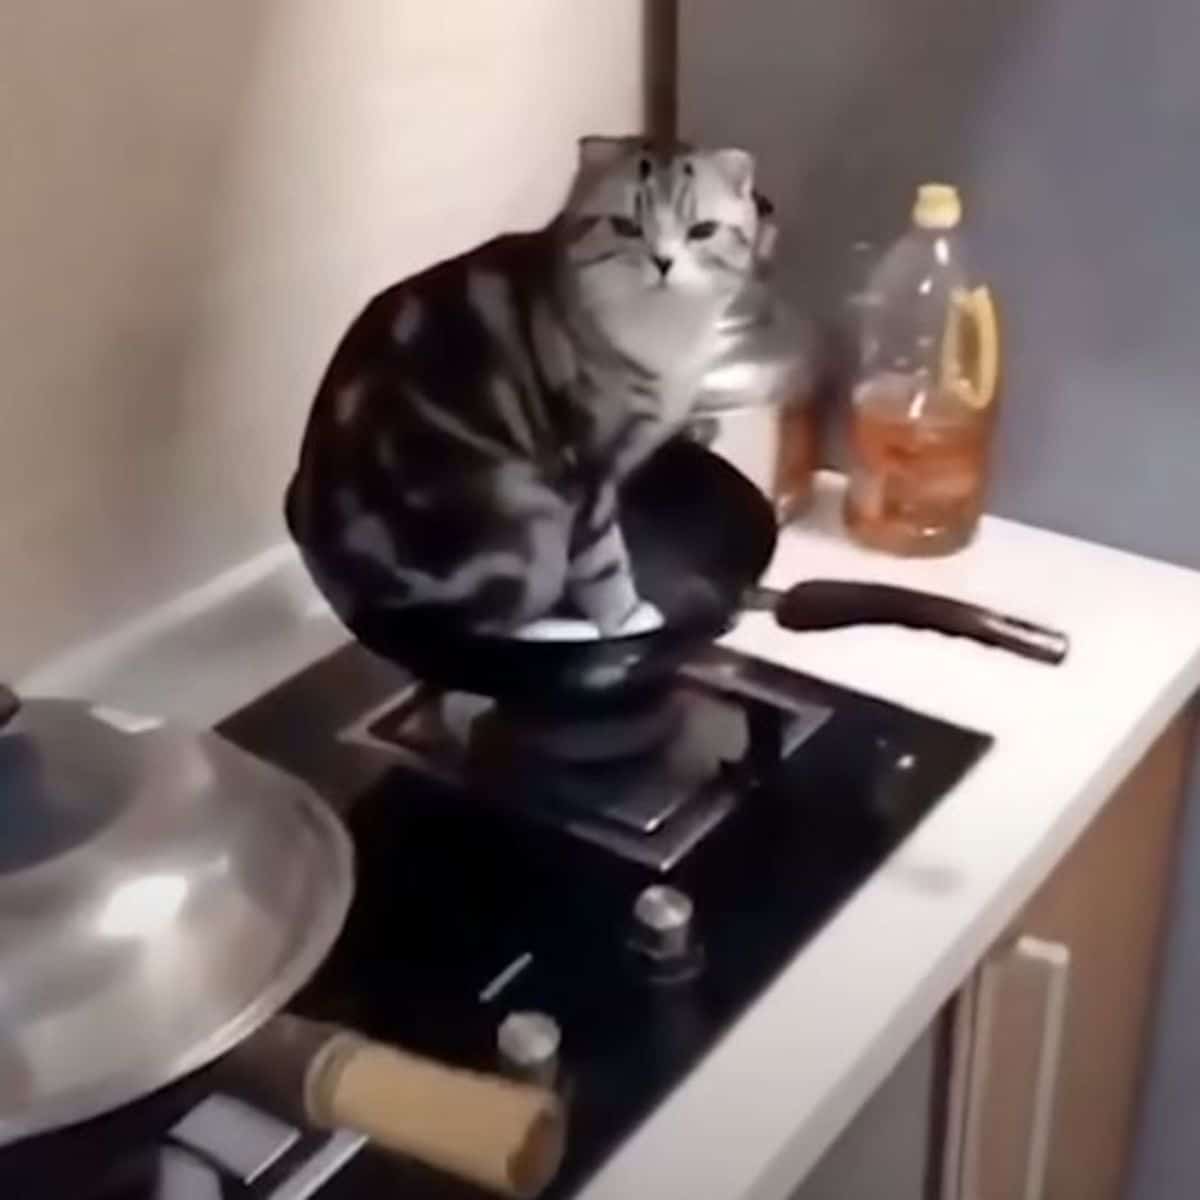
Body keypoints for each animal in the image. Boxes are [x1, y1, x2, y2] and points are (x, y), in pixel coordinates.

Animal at [288, 136, 758, 643]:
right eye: (626, 226)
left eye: (702, 230)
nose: (663, 262)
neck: (662, 337)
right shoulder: (585, 466)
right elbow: (602, 561)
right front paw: (625, 620)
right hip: (523, 518)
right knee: (487, 625)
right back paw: (566, 632)